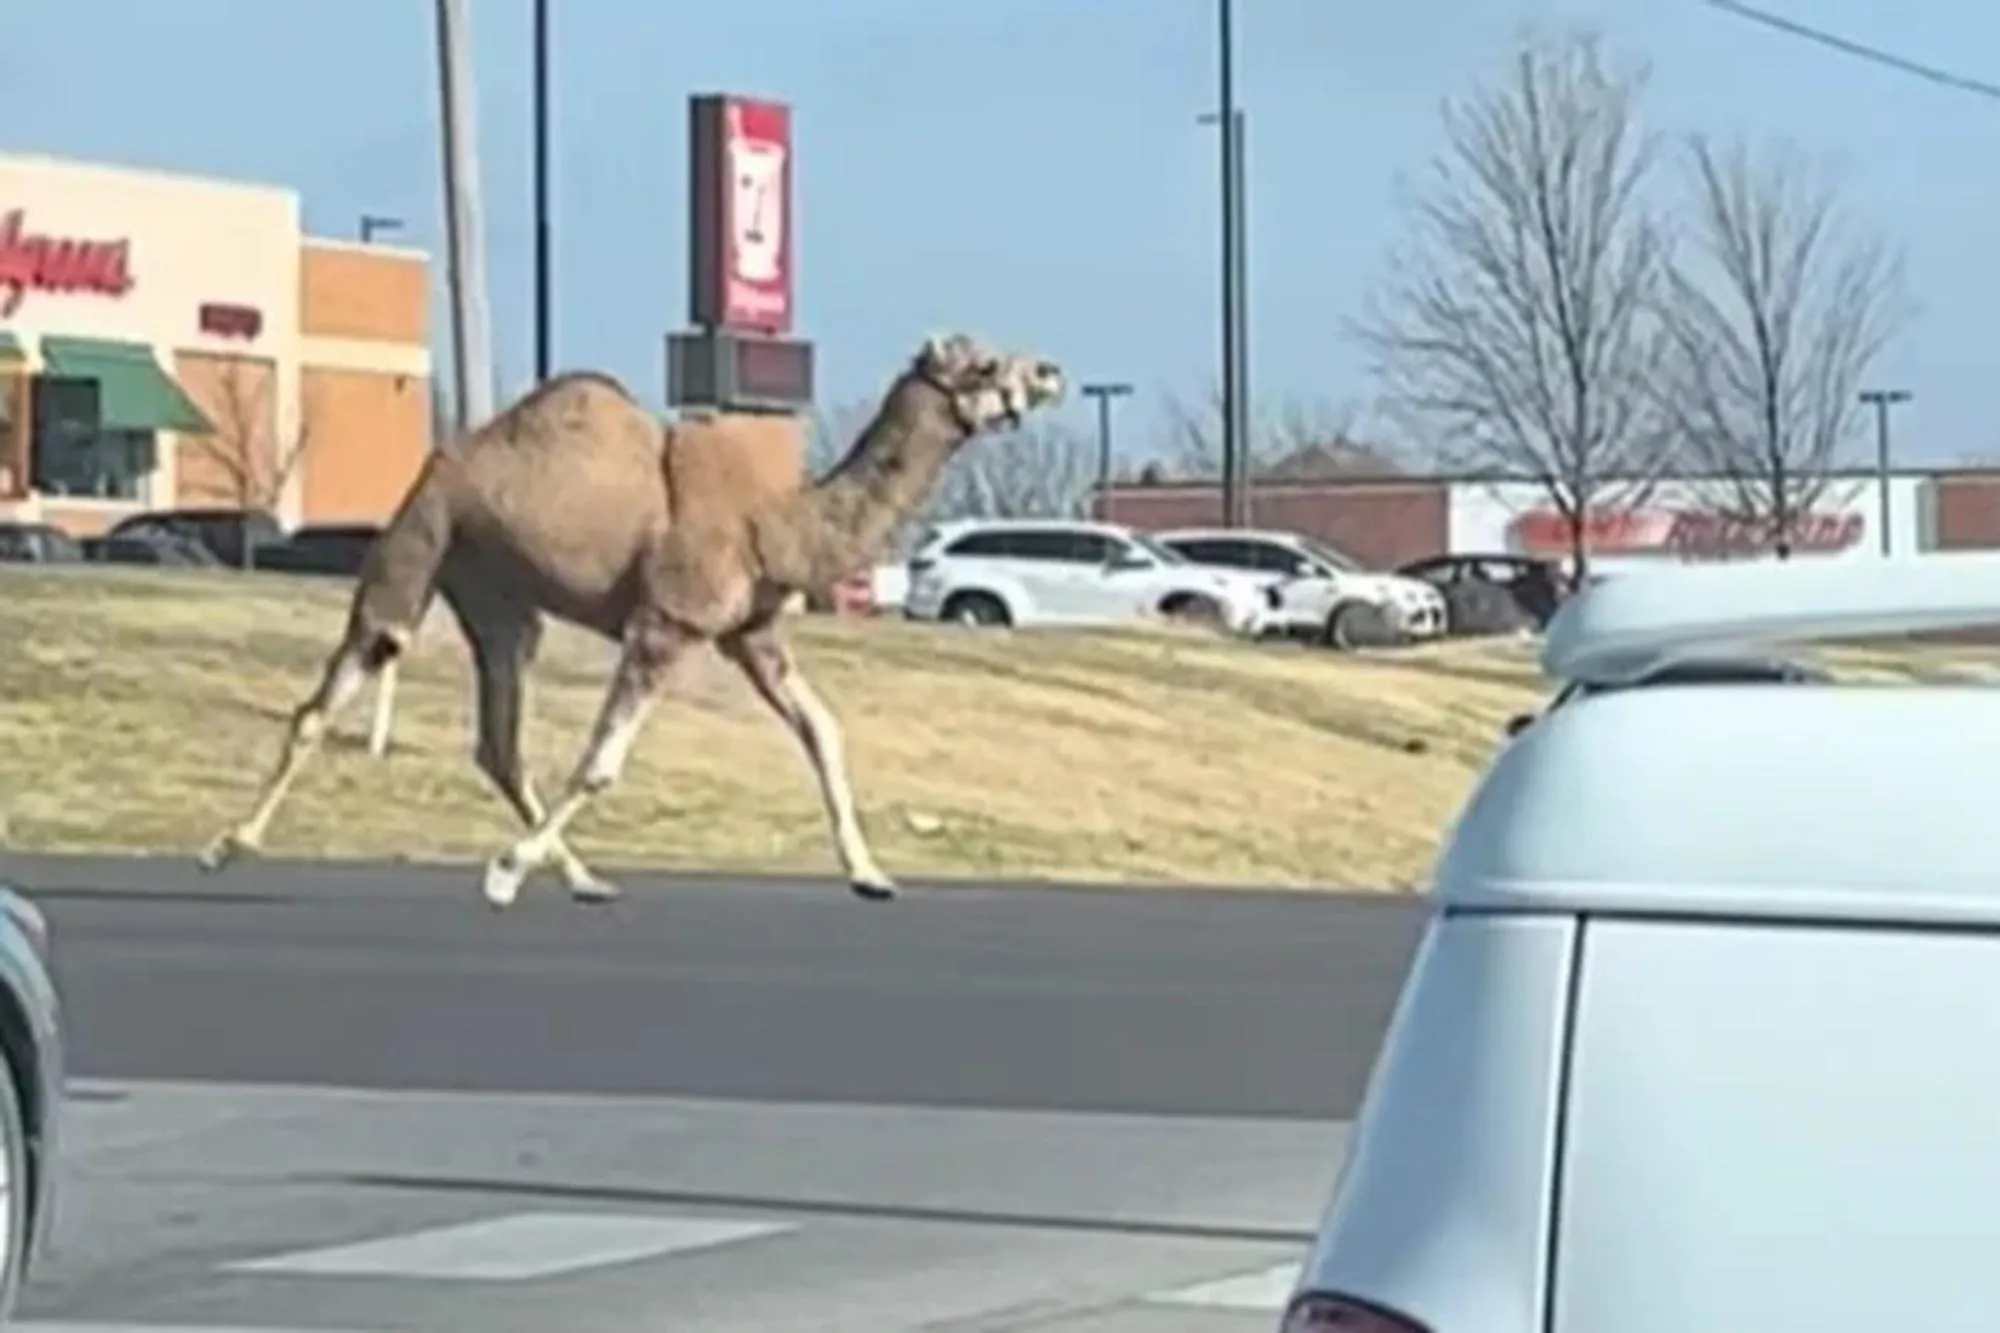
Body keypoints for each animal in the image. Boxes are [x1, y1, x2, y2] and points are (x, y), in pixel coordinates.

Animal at [197, 331, 1067, 906]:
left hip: (497, 595)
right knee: (353, 671)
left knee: (499, 738)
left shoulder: (751, 634)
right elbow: (604, 761)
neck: (775, 523)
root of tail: (450, 452)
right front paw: (502, 872)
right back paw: (225, 844)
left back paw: (585, 877)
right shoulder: (667, 622)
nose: (1051, 371)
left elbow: (822, 729)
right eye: (983, 363)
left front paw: (871, 874)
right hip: (420, 537)